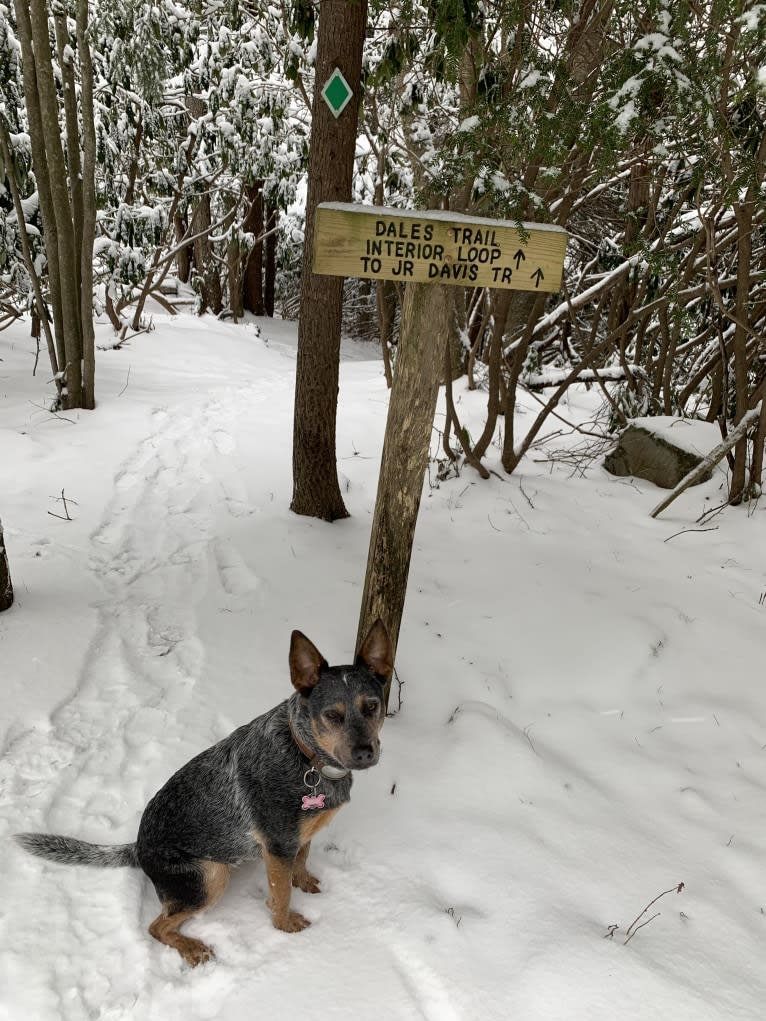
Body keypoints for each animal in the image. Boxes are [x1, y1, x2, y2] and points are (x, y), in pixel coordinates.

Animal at [15, 620, 392, 963]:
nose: (365, 752)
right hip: (211, 875)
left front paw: (306, 882)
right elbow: (281, 892)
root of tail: (137, 848)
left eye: (372, 706)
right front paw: (285, 927)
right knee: (157, 926)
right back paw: (192, 948)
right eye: (332, 715)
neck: (307, 758)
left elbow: (302, 859)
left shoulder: (296, 837)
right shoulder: (277, 844)